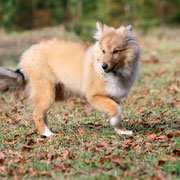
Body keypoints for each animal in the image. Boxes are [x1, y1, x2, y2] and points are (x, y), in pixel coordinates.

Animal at [9, 21, 141, 136]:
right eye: (103, 51)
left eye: (116, 51)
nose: (104, 66)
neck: (114, 72)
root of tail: (28, 52)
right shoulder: (95, 96)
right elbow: (116, 110)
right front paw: (118, 127)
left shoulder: (114, 96)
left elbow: (116, 112)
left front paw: (122, 131)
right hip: (46, 91)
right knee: (37, 114)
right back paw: (48, 134)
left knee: (42, 113)